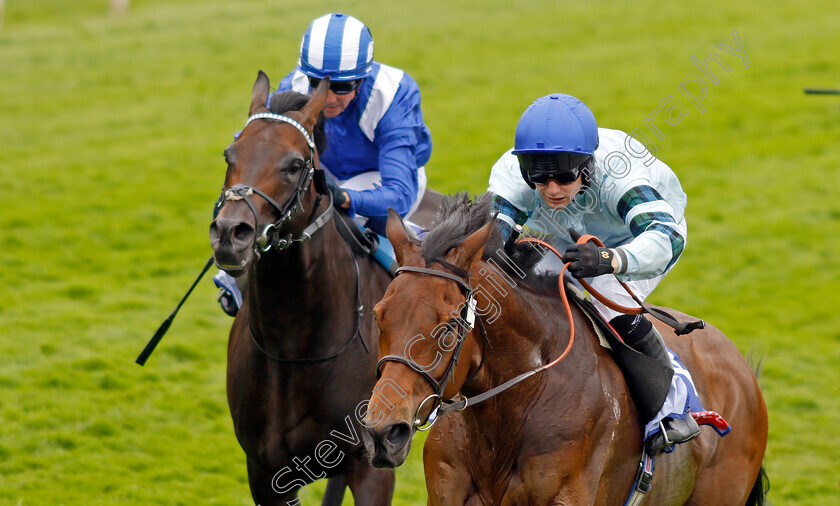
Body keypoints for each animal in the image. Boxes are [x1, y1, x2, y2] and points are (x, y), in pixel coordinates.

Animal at [208, 72, 396, 506]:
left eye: (295, 165)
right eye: (229, 155)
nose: (229, 233)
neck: (294, 349)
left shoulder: (371, 468)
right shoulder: (265, 471)